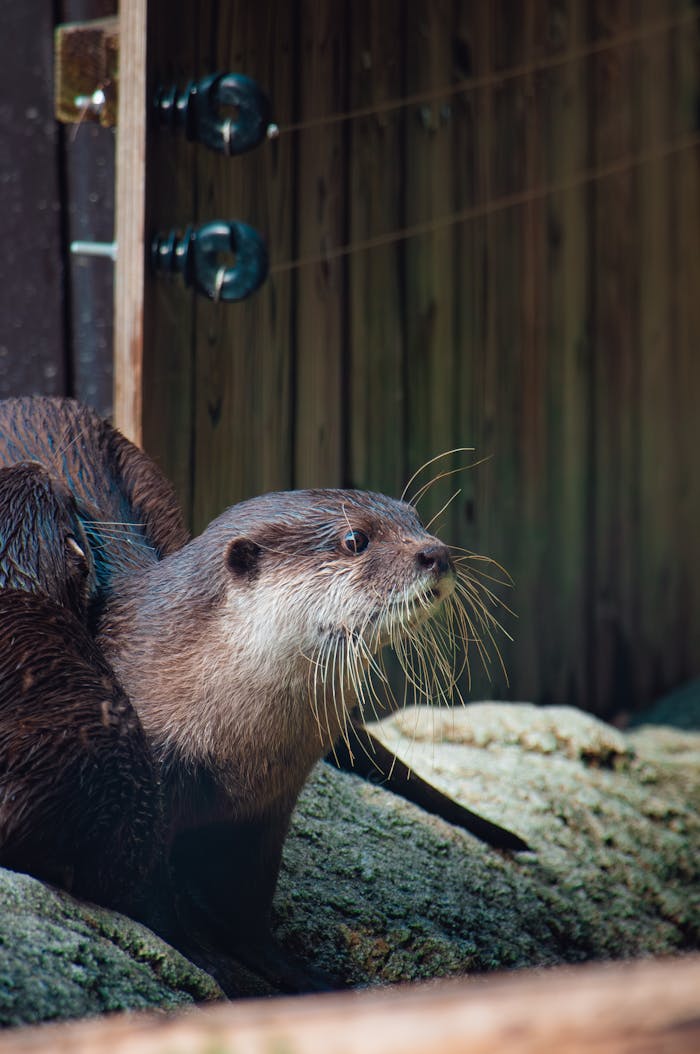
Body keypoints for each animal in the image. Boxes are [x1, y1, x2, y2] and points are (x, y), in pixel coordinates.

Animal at [0, 397, 525, 992]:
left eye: (414, 520)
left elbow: (246, 906)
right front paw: (204, 963)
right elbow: (152, 899)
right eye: (355, 540)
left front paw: (298, 973)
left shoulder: (267, 809)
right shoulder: (145, 783)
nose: (436, 554)